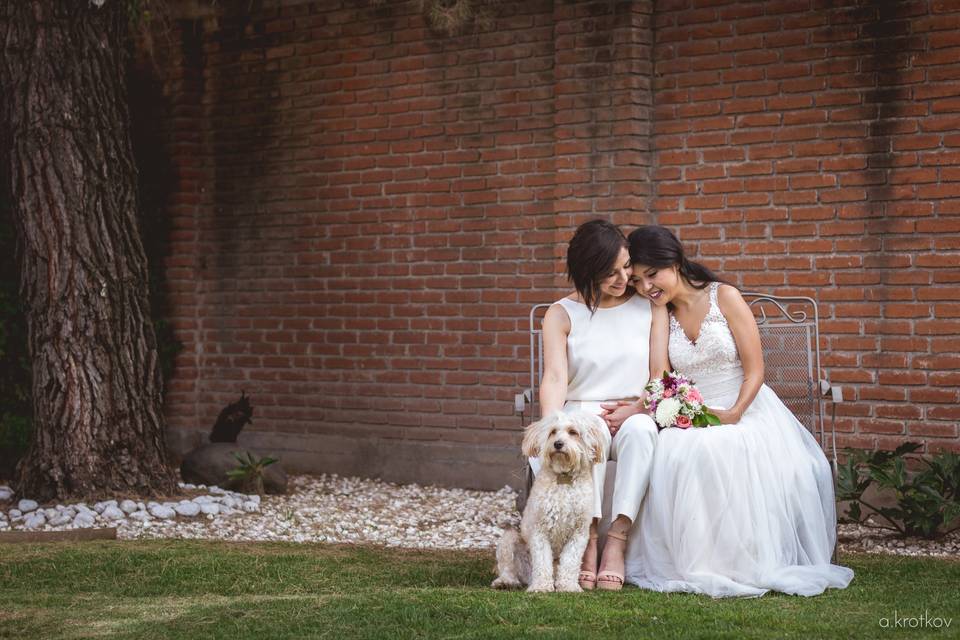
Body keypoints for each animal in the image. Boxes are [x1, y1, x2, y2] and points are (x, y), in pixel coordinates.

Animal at [492, 412, 604, 592]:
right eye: (552, 432)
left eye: (573, 432)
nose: (558, 444)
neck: (563, 478)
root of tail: (526, 577)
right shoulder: (539, 530)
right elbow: (542, 561)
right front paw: (541, 586)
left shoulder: (578, 533)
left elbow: (571, 562)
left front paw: (568, 586)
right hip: (509, 539)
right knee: (508, 568)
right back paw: (506, 581)